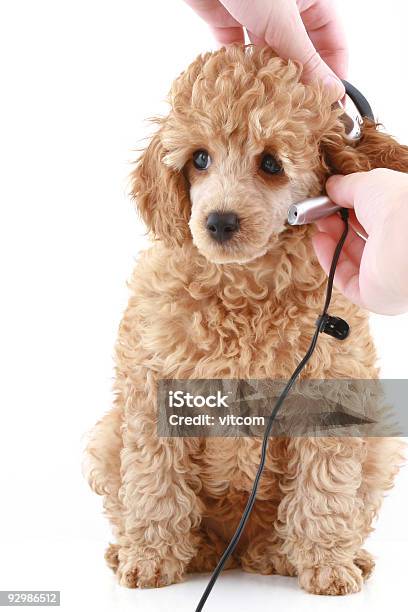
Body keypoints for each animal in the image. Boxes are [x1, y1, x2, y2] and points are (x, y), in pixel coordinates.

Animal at [85, 46, 404, 592]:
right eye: (199, 159)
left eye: (272, 163)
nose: (218, 222)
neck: (245, 291)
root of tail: (235, 552)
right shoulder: (153, 393)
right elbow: (154, 482)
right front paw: (151, 559)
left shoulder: (331, 398)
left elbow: (324, 489)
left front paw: (327, 565)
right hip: (108, 436)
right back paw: (156, 550)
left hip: (378, 447)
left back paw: (299, 554)